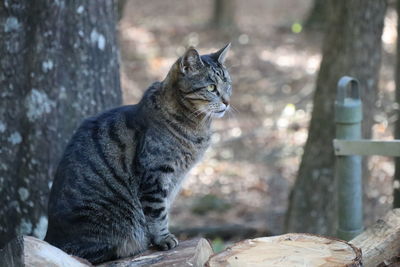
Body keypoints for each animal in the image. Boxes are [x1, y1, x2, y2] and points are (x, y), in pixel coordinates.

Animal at [44, 43, 231, 264]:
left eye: (228, 85)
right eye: (211, 88)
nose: (228, 101)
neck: (196, 125)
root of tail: (50, 237)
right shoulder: (156, 175)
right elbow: (157, 213)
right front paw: (163, 239)